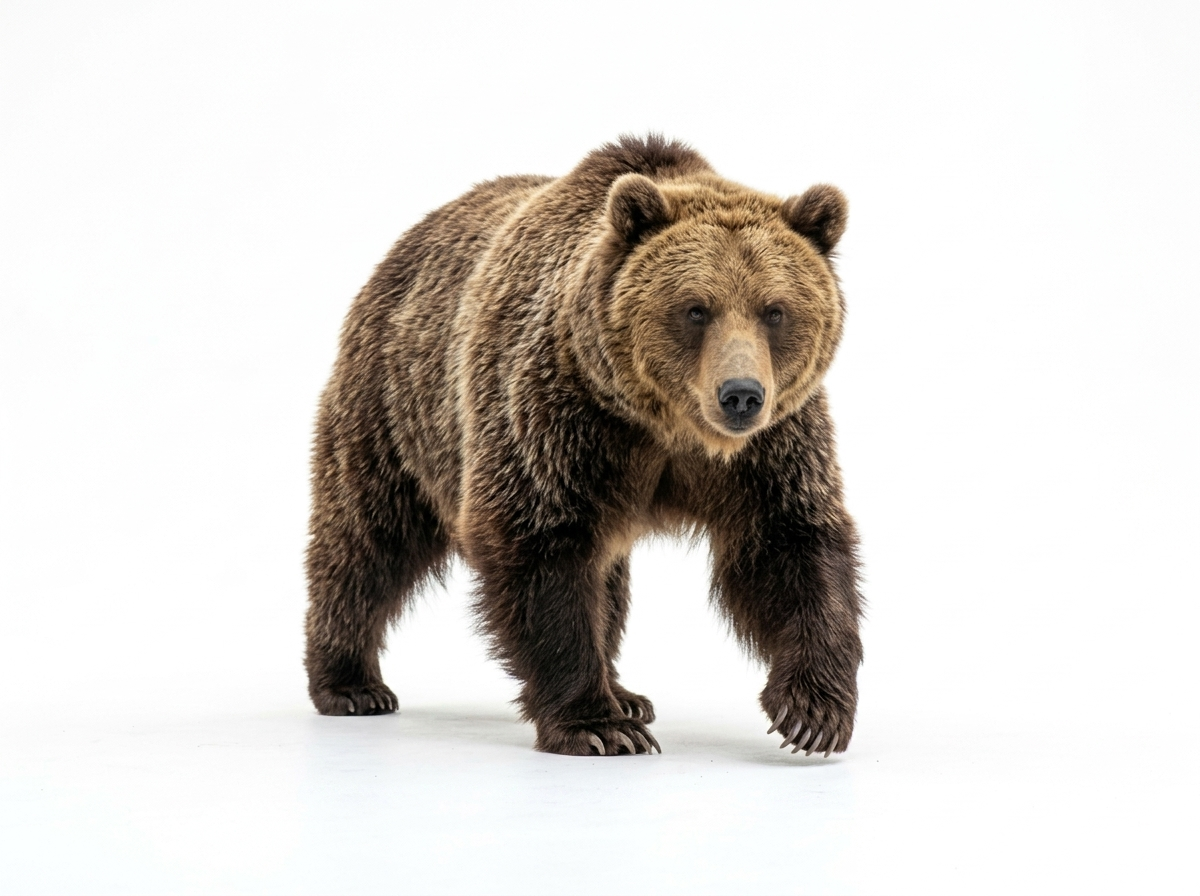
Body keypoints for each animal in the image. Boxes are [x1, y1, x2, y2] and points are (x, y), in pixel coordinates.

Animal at [304, 135, 863, 757]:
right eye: (696, 308)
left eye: (775, 310)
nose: (740, 395)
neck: (666, 426)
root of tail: (405, 243)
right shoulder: (559, 415)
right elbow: (541, 546)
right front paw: (597, 724)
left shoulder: (771, 447)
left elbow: (789, 543)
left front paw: (813, 712)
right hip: (397, 405)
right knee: (368, 537)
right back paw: (352, 683)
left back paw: (627, 692)